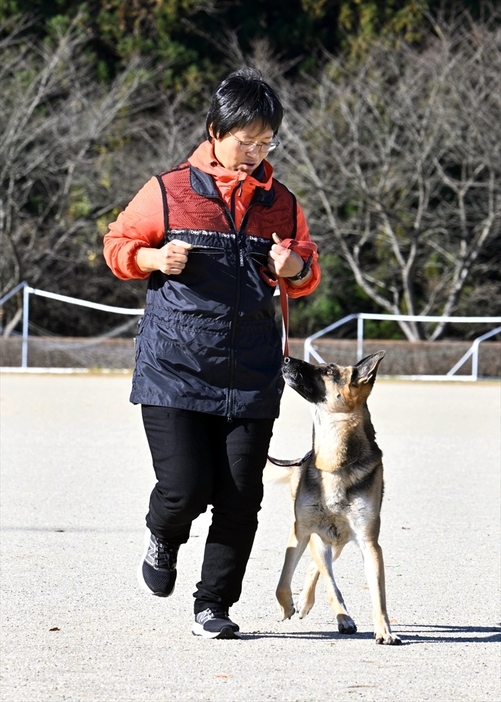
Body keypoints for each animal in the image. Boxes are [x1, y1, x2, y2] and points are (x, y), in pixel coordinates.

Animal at [270, 354, 402, 648]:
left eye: (328, 371)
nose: (286, 358)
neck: (333, 463)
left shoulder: (369, 543)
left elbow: (379, 596)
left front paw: (384, 631)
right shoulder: (304, 531)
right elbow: (292, 582)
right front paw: (287, 607)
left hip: (338, 541)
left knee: (314, 569)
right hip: (320, 538)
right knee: (319, 569)